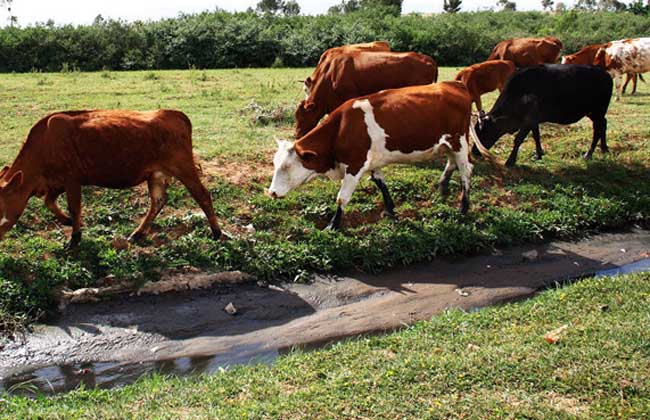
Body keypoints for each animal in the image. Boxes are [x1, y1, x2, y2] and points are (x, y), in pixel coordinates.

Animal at [0, 110, 221, 248]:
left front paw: (74, 239)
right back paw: (138, 233)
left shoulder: (72, 179)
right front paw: (67, 221)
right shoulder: (56, 183)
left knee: (202, 195)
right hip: (156, 174)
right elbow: (49, 202)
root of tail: (175, 114)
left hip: (183, 167)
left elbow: (74, 207)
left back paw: (217, 233)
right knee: (158, 201)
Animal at [268, 81, 486, 230]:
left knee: (466, 170)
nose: (271, 192)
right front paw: (390, 210)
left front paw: (333, 225)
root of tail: (454, 84)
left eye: (287, 167)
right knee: (452, 163)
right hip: (448, 144)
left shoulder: (355, 166)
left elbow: (341, 198)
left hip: (459, 141)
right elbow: (381, 183)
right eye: (275, 164)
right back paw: (442, 187)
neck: (341, 128)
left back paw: (463, 207)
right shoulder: (373, 161)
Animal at [470, 64, 612, 166]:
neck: (519, 93)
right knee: (604, 124)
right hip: (592, 113)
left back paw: (589, 154)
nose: (474, 151)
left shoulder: (528, 120)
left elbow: (518, 139)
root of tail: (605, 74)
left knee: (598, 129)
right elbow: (536, 136)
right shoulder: (534, 121)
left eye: (483, 132)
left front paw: (510, 161)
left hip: (598, 112)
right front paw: (539, 154)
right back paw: (604, 148)